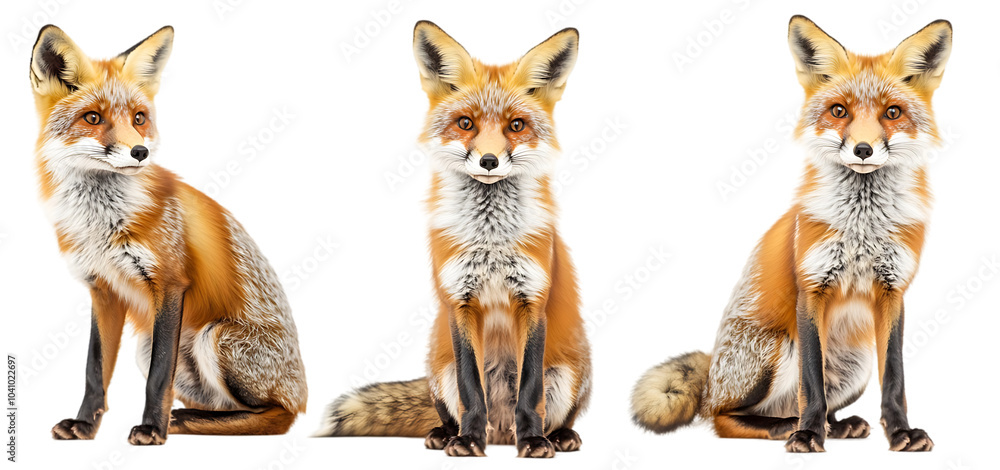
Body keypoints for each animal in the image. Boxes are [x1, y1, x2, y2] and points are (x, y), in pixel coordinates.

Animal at [30, 25, 307, 445]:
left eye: (139, 118)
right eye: (92, 117)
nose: (140, 152)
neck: (102, 221)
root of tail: (303, 393)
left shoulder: (170, 282)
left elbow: (159, 377)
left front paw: (151, 429)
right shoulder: (103, 290)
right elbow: (95, 369)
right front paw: (84, 426)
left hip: (216, 338)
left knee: (276, 417)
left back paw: (181, 422)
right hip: (149, 348)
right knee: (227, 409)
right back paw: (191, 418)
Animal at [315, 21, 591, 458]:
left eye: (516, 125)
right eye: (465, 123)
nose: (489, 161)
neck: (490, 238)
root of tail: (501, 432)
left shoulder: (533, 300)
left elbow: (529, 390)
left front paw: (533, 440)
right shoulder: (459, 300)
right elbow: (470, 387)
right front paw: (467, 440)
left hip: (570, 373)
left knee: (554, 412)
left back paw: (558, 435)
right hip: (437, 366)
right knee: (453, 407)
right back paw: (448, 433)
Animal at [630, 16, 951, 453]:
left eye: (892, 112)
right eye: (838, 111)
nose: (863, 149)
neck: (862, 225)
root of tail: (712, 371)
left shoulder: (893, 291)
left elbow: (895, 379)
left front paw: (901, 432)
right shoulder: (812, 287)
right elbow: (810, 381)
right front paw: (807, 435)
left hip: (856, 366)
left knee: (813, 402)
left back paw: (836, 425)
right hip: (775, 352)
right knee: (722, 417)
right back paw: (785, 426)